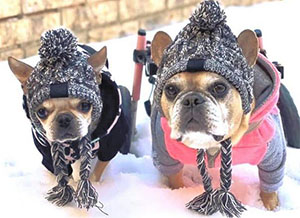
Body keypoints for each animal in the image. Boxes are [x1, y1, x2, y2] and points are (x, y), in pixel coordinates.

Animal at [150, 0, 286, 215]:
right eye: (171, 89)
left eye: (220, 87)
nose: (191, 99)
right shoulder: (165, 155)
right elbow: (174, 178)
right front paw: (177, 192)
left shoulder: (274, 158)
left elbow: (269, 187)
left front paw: (270, 208)